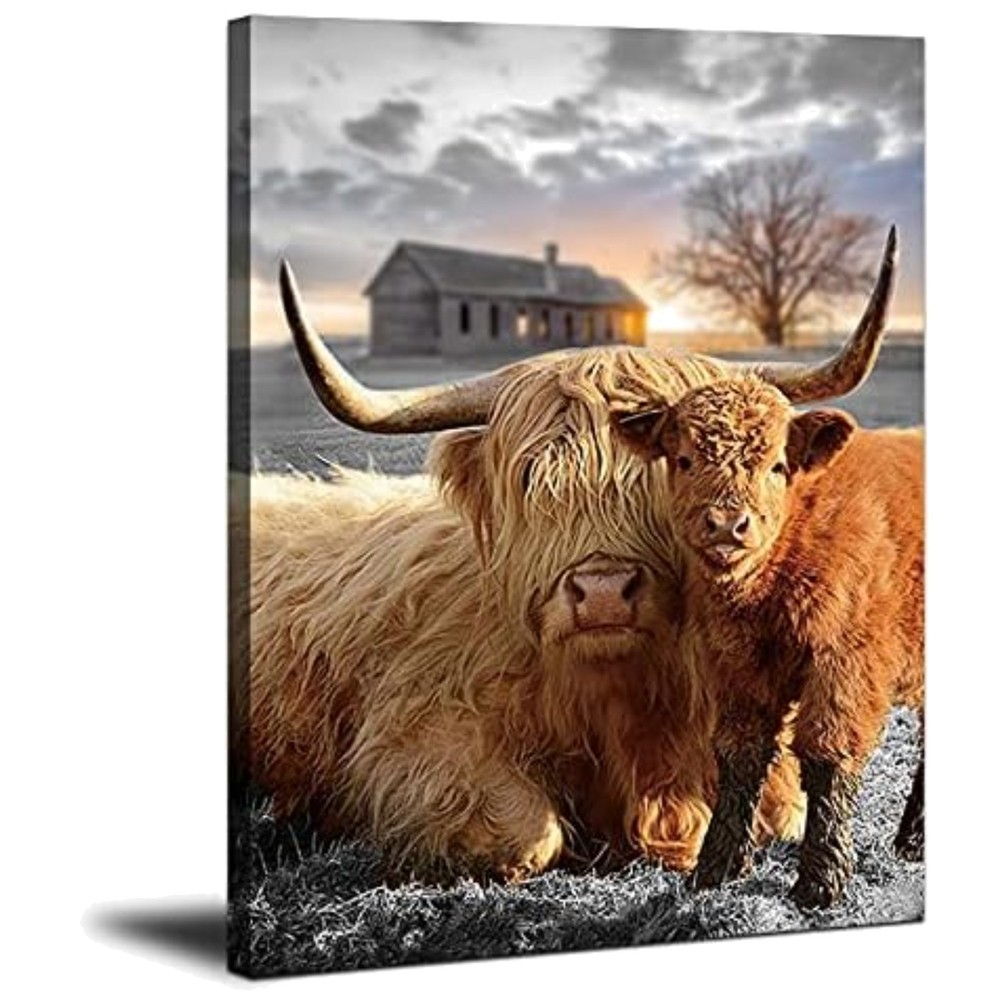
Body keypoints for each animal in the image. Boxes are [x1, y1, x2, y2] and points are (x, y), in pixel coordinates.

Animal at [237, 228, 899, 881]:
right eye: (532, 478)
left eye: (672, 466)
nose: (603, 593)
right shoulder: (411, 737)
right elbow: (525, 833)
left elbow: (775, 809)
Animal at [613, 361, 922, 907]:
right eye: (684, 458)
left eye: (777, 465)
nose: (726, 525)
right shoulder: (737, 663)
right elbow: (741, 753)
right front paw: (715, 871)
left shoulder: (846, 662)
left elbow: (826, 757)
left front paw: (821, 881)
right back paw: (912, 840)